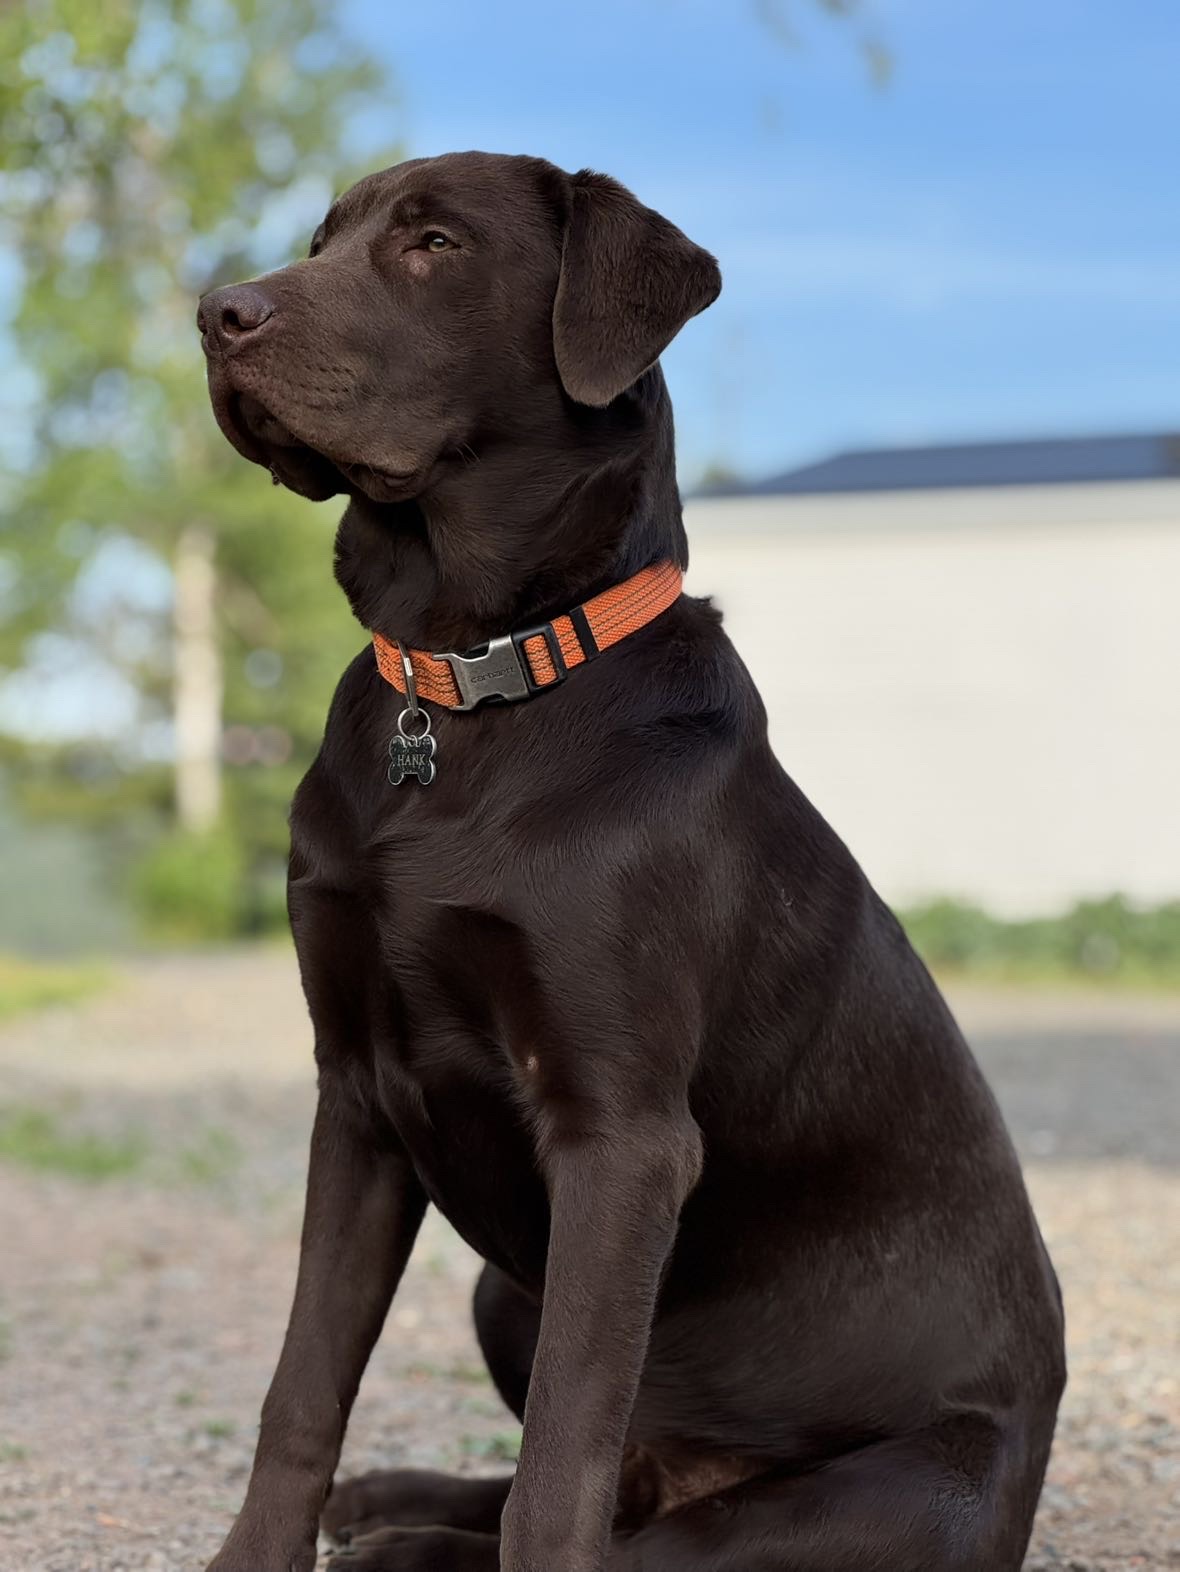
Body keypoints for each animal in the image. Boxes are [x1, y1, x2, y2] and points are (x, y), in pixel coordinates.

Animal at [197, 151, 1065, 1572]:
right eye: (319, 238)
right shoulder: (357, 1099)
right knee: (601, 1488)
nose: (217, 314)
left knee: (632, 1529)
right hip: (504, 1286)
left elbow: (560, 1467)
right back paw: (399, 1509)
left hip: (849, 1500)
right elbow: (301, 1389)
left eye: (434, 244)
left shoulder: (622, 1138)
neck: (467, 684)